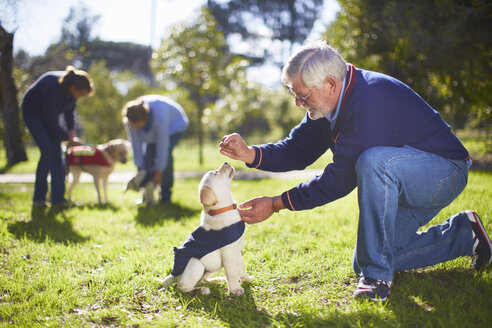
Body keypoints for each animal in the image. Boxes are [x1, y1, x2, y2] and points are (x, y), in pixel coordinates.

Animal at [161, 163, 252, 296]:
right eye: (215, 173)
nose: (226, 162)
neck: (222, 209)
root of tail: (173, 276)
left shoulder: (237, 252)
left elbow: (241, 268)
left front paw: (247, 280)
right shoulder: (228, 255)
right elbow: (232, 273)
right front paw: (236, 289)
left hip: (213, 267)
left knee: (202, 279)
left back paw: (216, 280)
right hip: (196, 264)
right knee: (183, 288)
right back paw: (202, 290)